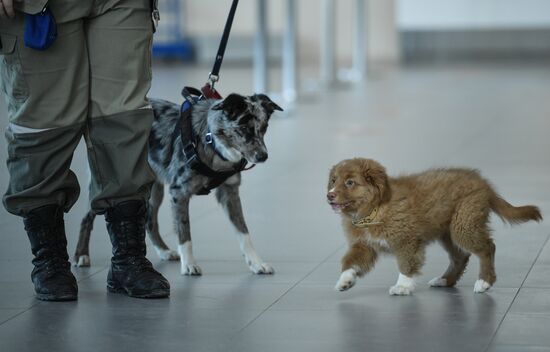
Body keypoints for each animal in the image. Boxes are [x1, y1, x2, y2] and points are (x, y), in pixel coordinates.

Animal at [75, 93, 284, 276]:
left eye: (264, 127)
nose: (263, 156)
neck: (210, 139)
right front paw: (189, 264)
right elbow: (185, 231)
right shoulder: (180, 192)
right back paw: (81, 255)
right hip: (114, 183)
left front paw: (256, 263)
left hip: (153, 189)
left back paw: (164, 251)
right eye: (244, 127)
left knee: (150, 219)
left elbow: (243, 232)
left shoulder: (229, 192)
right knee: (86, 217)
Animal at [328, 159, 544, 294]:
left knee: (487, 248)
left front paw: (403, 286)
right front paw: (345, 280)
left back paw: (484, 282)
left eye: (350, 182)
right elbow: (350, 261)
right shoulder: (364, 245)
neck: (372, 211)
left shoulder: (407, 240)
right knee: (460, 257)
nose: (329, 195)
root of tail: (484, 184)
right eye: (333, 181)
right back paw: (444, 280)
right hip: (447, 232)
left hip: (464, 223)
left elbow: (406, 264)